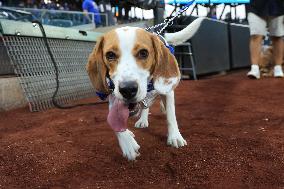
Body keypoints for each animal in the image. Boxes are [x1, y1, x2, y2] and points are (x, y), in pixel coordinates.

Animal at [86, 17, 204, 160]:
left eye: (143, 53)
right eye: (110, 55)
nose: (127, 89)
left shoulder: (168, 92)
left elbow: (171, 116)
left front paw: (175, 136)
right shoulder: (113, 97)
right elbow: (114, 121)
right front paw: (127, 142)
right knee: (145, 108)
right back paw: (142, 120)